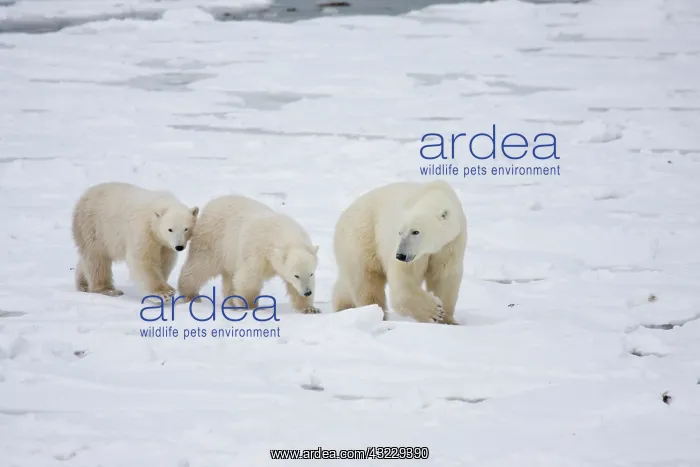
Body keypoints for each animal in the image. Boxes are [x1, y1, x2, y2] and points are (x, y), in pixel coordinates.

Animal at [177, 194, 321, 314]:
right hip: (212, 241)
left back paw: (230, 302)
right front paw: (251, 306)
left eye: (311, 274)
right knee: (200, 266)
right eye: (296, 275)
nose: (307, 292)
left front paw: (310, 308)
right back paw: (190, 294)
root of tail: (212, 203)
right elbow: (249, 277)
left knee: (229, 277)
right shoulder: (257, 251)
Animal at [332, 180, 467, 324]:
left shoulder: (451, 242)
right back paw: (375, 313)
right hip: (363, 236)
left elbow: (444, 277)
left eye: (415, 231)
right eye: (400, 232)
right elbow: (404, 283)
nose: (401, 255)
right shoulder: (410, 254)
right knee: (366, 279)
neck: (434, 193)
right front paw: (435, 311)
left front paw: (448, 320)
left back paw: (344, 306)